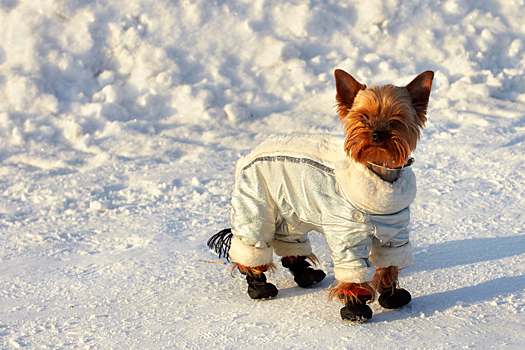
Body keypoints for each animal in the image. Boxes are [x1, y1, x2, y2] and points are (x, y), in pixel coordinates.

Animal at [207, 69, 432, 322]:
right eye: (363, 117)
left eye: (396, 117)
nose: (377, 134)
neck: (380, 177)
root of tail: (250, 154)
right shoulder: (347, 236)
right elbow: (352, 270)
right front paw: (356, 308)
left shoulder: (395, 232)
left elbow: (389, 263)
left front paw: (392, 295)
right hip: (256, 203)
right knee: (252, 244)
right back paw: (259, 285)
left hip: (291, 210)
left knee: (290, 241)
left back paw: (305, 274)